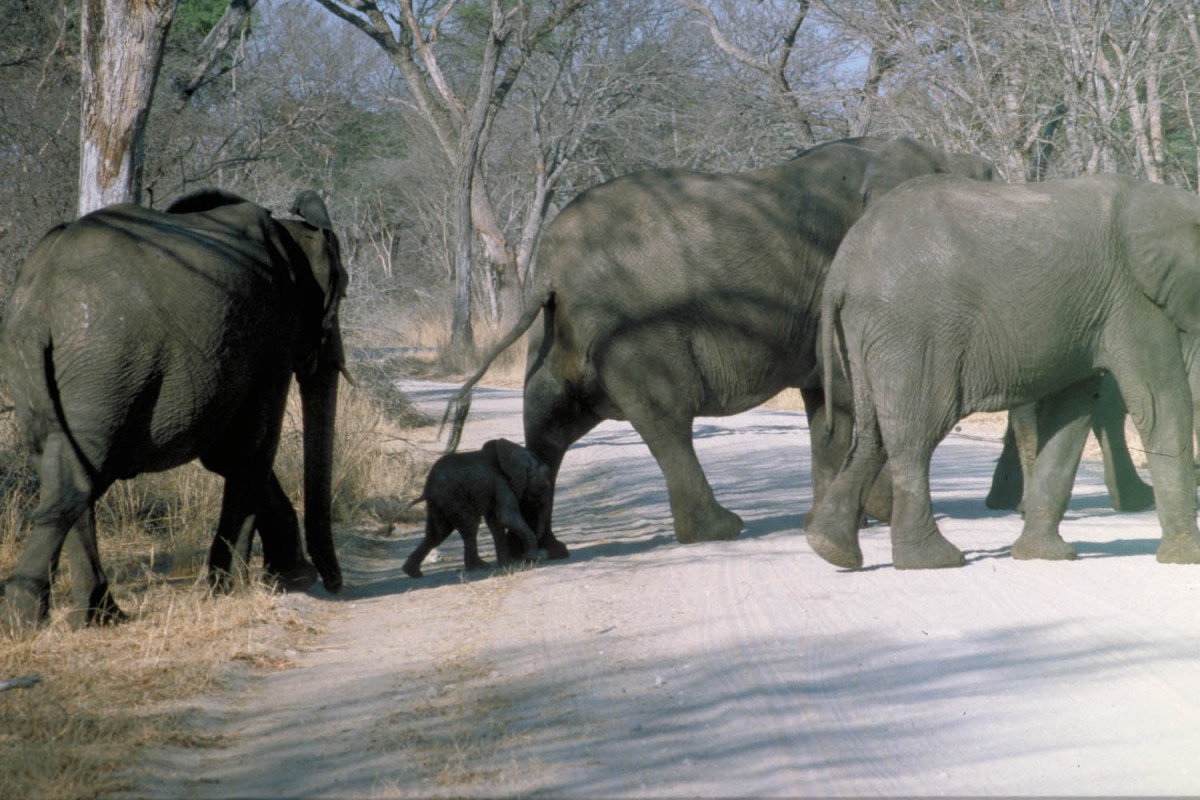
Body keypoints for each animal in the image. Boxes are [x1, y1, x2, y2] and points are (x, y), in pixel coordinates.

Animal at [2, 189, 348, 633]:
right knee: (79, 477)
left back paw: (99, 618)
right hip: (107, 363)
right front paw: (233, 592)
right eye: (341, 297)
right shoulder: (274, 336)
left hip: (36, 362)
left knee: (62, 468)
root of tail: (41, 295)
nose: (335, 586)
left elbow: (226, 455)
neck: (292, 233)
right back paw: (25, 620)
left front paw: (288, 578)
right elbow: (251, 449)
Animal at [403, 441, 552, 578]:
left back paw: (413, 572)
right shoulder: (501, 483)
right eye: (543, 486)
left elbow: (496, 522)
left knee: (437, 533)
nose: (540, 536)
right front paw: (536, 557)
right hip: (451, 497)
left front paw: (506, 564)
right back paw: (478, 567)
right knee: (469, 526)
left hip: (439, 503)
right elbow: (506, 517)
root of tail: (427, 490)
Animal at [441, 136, 993, 556]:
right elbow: (849, 395)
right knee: (666, 419)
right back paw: (720, 530)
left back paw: (546, 550)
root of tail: (549, 269)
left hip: (556, 335)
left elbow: (827, 404)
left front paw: (835, 521)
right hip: (635, 333)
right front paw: (873, 514)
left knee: (548, 430)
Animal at [806, 173, 1200, 568]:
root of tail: (843, 265)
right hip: (912, 332)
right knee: (914, 435)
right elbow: (1161, 405)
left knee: (871, 432)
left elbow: (1070, 419)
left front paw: (1042, 555)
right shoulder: (1134, 301)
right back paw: (932, 559)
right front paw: (1186, 558)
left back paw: (829, 548)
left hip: (863, 332)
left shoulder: (1091, 315)